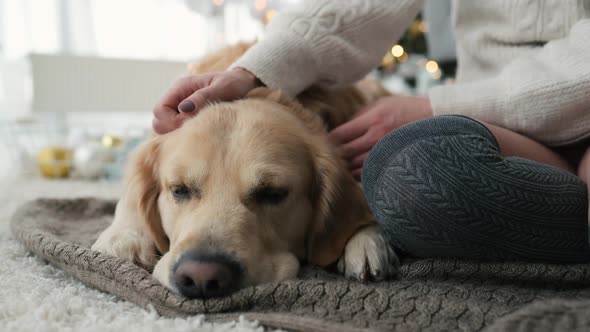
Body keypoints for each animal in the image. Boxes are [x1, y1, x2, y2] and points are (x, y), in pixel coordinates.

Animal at [92, 43, 400, 298]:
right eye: (179, 190)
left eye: (273, 194)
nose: (201, 276)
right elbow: (130, 195)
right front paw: (123, 237)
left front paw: (366, 241)